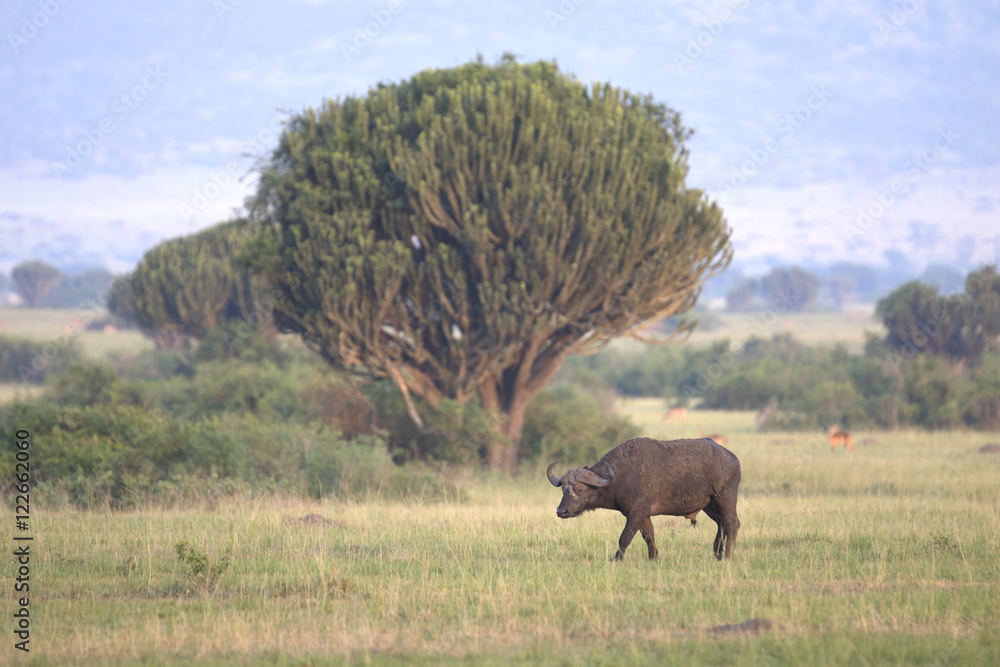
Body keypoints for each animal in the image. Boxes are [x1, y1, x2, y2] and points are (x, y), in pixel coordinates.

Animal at [547, 437, 741, 560]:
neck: (620, 477)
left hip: (725, 498)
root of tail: (733, 457)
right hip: (710, 505)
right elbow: (649, 536)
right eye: (563, 489)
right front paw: (653, 557)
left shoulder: (636, 513)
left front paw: (616, 559)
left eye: (579, 489)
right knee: (722, 524)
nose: (561, 511)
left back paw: (727, 557)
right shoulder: (643, 515)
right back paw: (717, 554)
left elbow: (625, 537)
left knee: (731, 524)